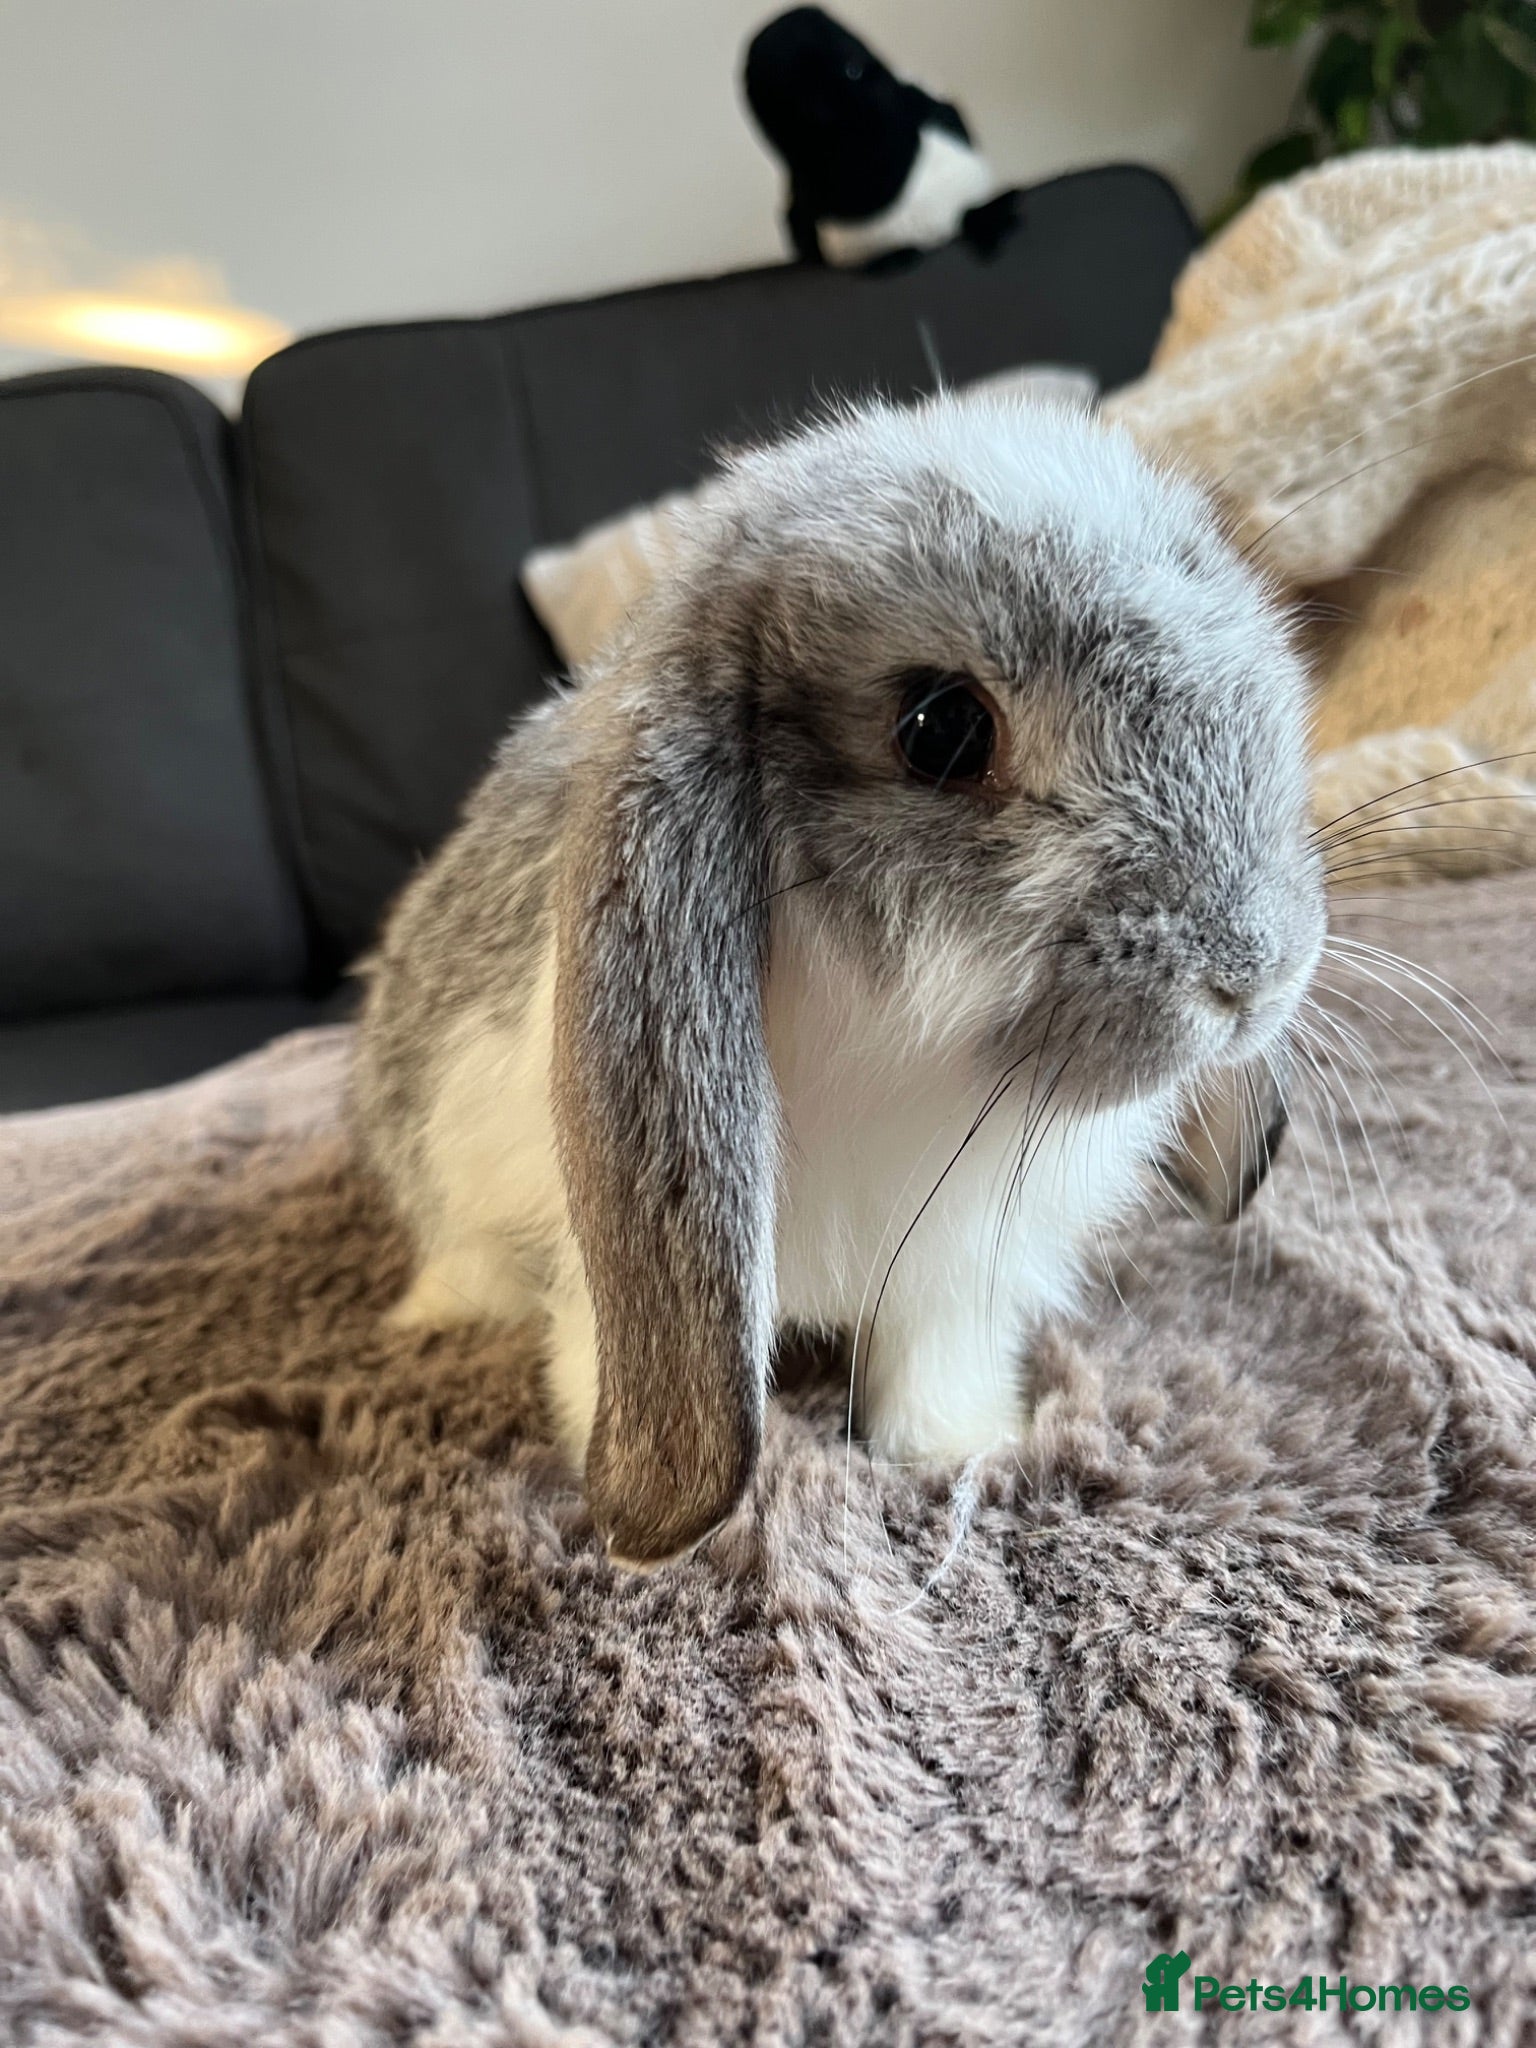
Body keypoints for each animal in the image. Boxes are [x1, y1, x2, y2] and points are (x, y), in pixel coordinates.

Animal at [352, 390, 1326, 1569]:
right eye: (942, 729)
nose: (1256, 977)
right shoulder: (604, 1267)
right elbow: (598, 1353)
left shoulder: (957, 1276)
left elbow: (934, 1367)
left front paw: (964, 1447)